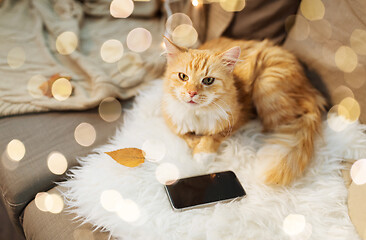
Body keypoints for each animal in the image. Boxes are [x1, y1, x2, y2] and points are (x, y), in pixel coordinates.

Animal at [162, 37, 324, 186]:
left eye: (208, 80)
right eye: (183, 77)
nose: (192, 93)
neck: (198, 114)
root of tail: (311, 91)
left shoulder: (237, 118)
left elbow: (213, 137)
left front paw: (203, 153)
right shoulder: (172, 121)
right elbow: (186, 137)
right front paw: (196, 144)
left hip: (266, 85)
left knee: (277, 124)